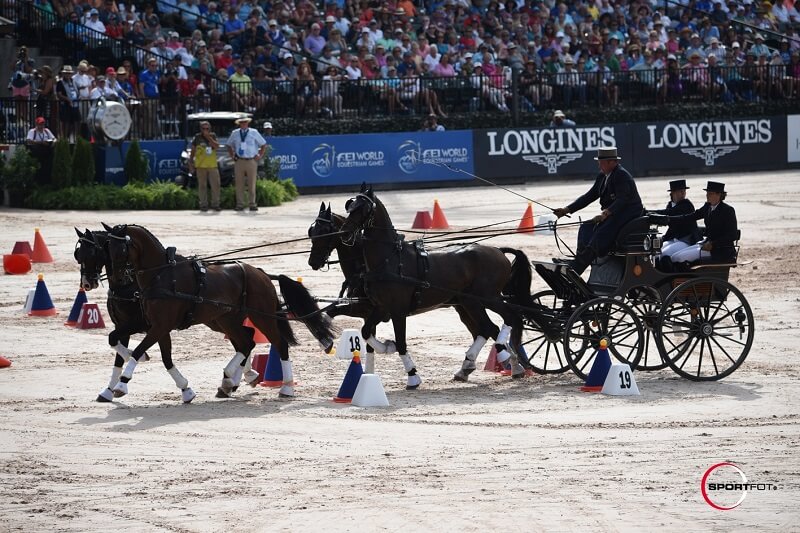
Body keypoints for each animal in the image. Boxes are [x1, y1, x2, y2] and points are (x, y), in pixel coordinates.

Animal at [74, 227, 177, 402]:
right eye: (78, 255)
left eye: (92, 253)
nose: (86, 284)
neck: (127, 285)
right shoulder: (122, 326)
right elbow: (117, 355)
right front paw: (108, 390)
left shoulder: (139, 325)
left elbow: (117, 344)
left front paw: (138, 357)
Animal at [102, 222, 334, 402]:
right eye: (107, 248)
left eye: (121, 249)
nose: (119, 278)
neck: (162, 275)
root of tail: (261, 273)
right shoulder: (155, 325)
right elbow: (122, 341)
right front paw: (185, 389)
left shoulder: (160, 325)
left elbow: (139, 349)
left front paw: (121, 384)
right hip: (226, 320)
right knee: (246, 343)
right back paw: (230, 381)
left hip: (260, 317)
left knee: (278, 344)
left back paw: (285, 387)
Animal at [340, 185, 536, 380]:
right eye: (350, 206)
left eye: (363, 208)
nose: (344, 232)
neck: (391, 259)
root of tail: (498, 250)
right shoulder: (381, 307)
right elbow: (366, 332)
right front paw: (387, 347)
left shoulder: (398, 310)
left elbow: (401, 342)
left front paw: (412, 375)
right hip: (469, 301)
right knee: (488, 328)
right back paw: (497, 364)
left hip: (488, 298)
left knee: (507, 319)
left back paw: (505, 357)